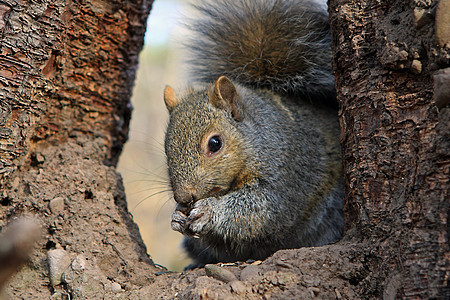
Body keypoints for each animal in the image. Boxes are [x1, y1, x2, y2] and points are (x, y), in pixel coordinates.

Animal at [163, 0, 342, 268]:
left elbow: (255, 211)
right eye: (166, 149)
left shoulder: (287, 173)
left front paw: (209, 210)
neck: (256, 141)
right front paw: (176, 216)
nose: (184, 197)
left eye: (215, 143)